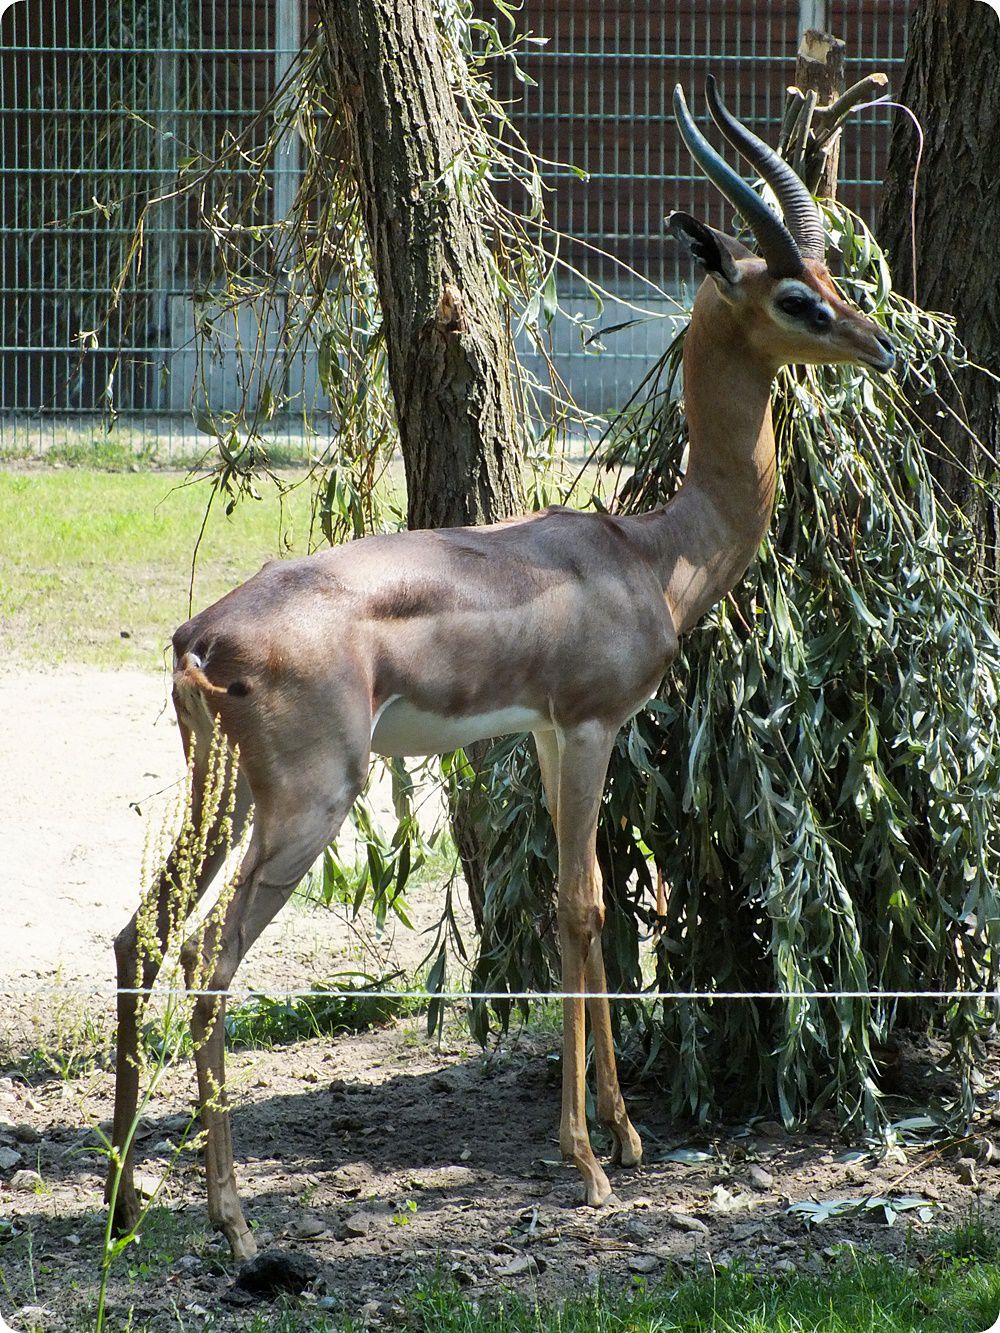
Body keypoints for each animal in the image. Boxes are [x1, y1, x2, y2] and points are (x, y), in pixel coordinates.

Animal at [106, 78, 895, 1261]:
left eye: (837, 274)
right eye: (798, 297)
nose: (882, 346)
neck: (650, 551)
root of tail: (204, 634)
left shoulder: (544, 731)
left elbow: (601, 910)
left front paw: (627, 1136)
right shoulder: (588, 724)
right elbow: (575, 908)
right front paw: (587, 1163)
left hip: (221, 791)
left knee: (139, 932)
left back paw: (123, 1203)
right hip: (307, 804)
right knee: (207, 959)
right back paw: (234, 1222)